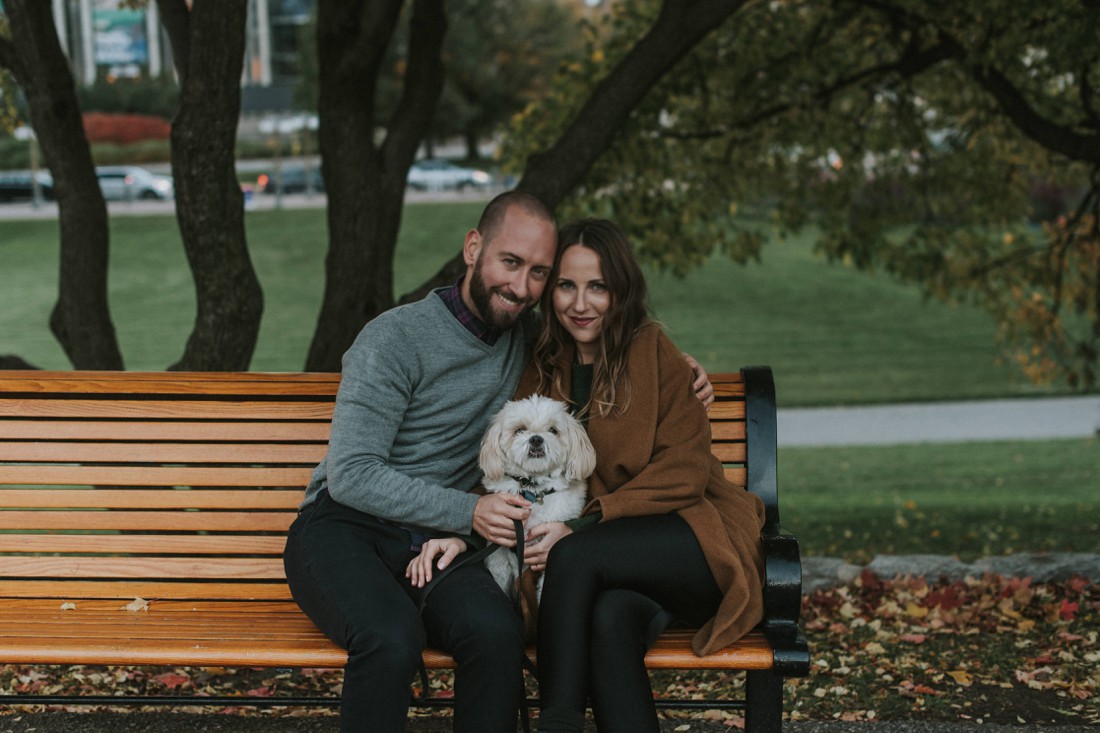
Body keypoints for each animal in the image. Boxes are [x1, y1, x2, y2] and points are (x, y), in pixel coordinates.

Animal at [479, 394, 594, 598]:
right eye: (519, 430)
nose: (536, 439)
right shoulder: (499, 551)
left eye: (553, 430)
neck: (533, 489)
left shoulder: (546, 550)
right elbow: (499, 577)